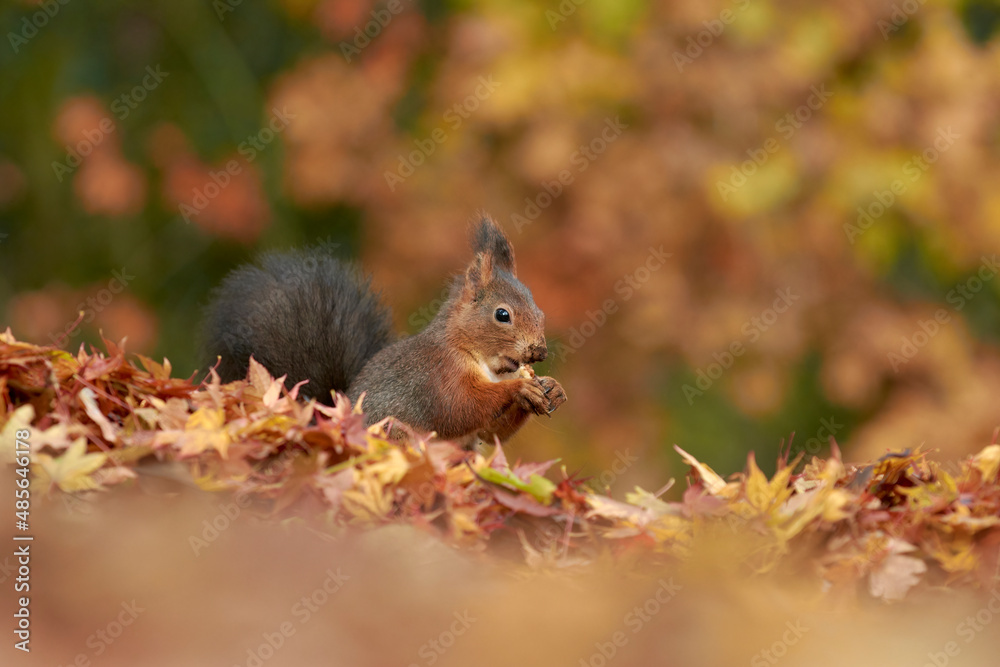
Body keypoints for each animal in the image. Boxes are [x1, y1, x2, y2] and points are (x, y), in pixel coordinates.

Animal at [203, 215, 566, 445]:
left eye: (541, 311)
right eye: (502, 315)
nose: (539, 351)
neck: (483, 361)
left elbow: (493, 434)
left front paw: (553, 388)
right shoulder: (435, 376)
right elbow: (459, 408)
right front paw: (519, 389)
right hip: (394, 434)